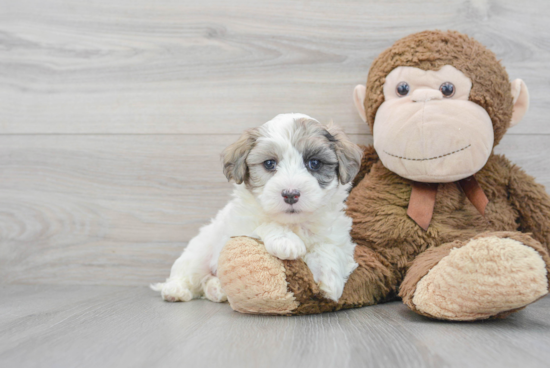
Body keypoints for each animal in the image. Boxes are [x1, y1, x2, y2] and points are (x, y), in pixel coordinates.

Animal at [153, 114, 364, 302]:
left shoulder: (338, 234)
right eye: (269, 163)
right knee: (188, 272)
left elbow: (330, 247)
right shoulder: (239, 225)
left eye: (314, 163)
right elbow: (264, 224)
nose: (290, 194)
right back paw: (175, 290)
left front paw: (329, 279)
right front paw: (285, 241)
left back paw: (216, 289)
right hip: (200, 251)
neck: (293, 223)